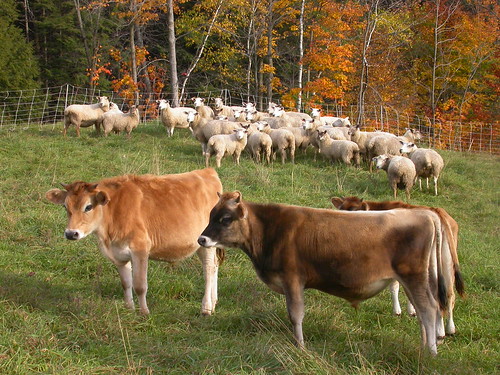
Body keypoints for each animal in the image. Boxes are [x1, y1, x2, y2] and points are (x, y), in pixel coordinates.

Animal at [46, 169, 223, 316]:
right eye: (65, 206)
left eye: (88, 207)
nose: (71, 233)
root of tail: (208, 171)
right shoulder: (119, 255)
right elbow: (126, 283)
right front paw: (129, 309)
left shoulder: (140, 249)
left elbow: (139, 285)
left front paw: (144, 313)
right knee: (214, 266)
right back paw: (214, 302)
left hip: (206, 243)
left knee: (208, 269)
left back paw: (206, 308)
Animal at [199, 191, 450, 356]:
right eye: (210, 215)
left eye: (225, 219)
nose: (201, 239)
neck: (272, 230)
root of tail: (426, 214)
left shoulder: (292, 279)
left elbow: (295, 314)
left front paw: (300, 346)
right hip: (415, 280)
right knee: (422, 312)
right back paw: (423, 346)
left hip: (414, 277)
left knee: (429, 309)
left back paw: (431, 352)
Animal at [332, 195, 464, 336]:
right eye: (341, 209)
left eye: (354, 212)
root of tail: (439, 212)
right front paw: (411, 311)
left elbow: (394, 285)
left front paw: (398, 311)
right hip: (447, 264)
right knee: (449, 294)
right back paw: (449, 329)